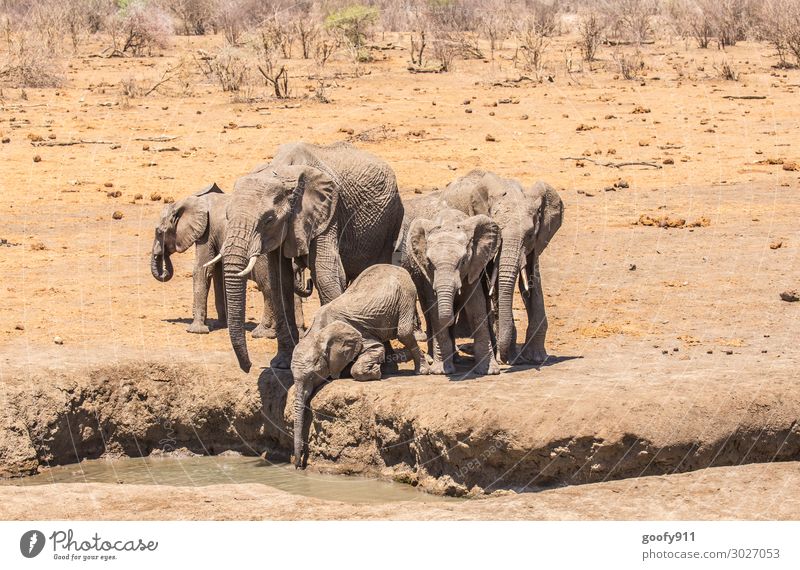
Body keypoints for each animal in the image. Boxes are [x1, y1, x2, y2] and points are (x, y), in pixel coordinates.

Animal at [220, 141, 404, 370]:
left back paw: (387, 362)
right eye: (227, 216)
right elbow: (278, 281)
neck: (282, 172)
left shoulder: (327, 213)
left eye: (268, 220)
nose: (249, 367)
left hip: (392, 219)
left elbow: (325, 274)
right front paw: (281, 363)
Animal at [290, 262, 428, 466]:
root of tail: (395, 267)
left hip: (406, 293)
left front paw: (376, 373)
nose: (298, 465)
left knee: (404, 332)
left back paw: (422, 370)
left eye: (313, 376)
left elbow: (374, 348)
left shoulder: (359, 333)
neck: (317, 332)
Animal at [406, 207, 500, 372]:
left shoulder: (474, 264)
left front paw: (490, 371)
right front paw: (441, 371)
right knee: (428, 313)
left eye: (462, 262)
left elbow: (476, 307)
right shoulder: (427, 275)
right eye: (430, 263)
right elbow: (435, 310)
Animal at [440, 170, 564, 364]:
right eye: (498, 231)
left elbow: (531, 279)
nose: (505, 360)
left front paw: (536, 357)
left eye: (529, 234)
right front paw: (509, 357)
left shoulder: (537, 241)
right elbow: (496, 283)